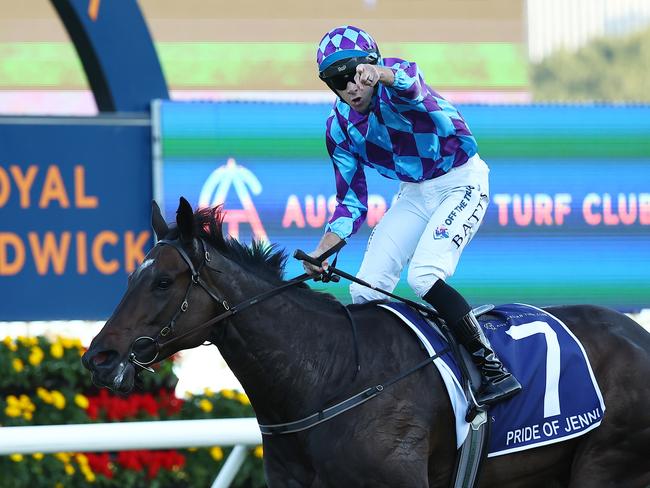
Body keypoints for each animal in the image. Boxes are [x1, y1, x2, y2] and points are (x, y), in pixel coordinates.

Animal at [82, 199, 648, 488]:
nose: (98, 357)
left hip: (606, 465)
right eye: (132, 275)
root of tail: (637, 335)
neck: (327, 378)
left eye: (163, 282)